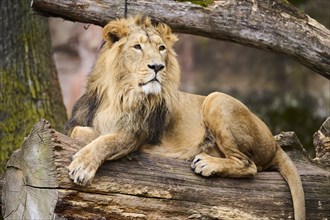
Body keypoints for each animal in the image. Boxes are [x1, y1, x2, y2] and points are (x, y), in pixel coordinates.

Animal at [65, 15, 306, 220]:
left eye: (161, 48)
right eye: (137, 47)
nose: (157, 66)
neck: (121, 95)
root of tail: (275, 144)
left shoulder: (133, 135)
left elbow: (105, 140)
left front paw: (82, 166)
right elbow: (80, 131)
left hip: (216, 99)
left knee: (249, 165)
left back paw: (206, 163)